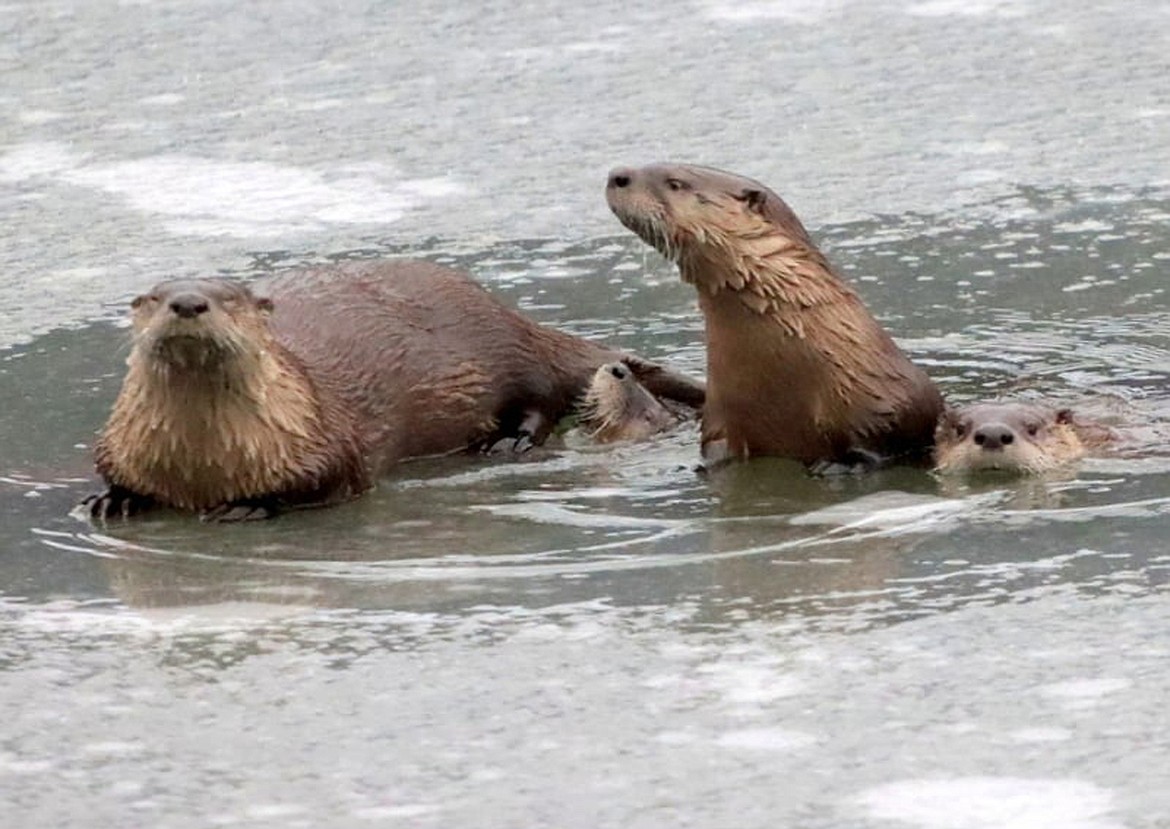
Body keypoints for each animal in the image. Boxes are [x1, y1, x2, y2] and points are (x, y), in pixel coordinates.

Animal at [86, 258, 702, 521]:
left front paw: (248, 505)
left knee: (542, 398)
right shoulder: (119, 442)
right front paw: (111, 500)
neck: (200, 465)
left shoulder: (325, 439)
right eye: (154, 297)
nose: (188, 303)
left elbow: (328, 480)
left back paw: (507, 441)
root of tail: (509, 313)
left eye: (230, 298)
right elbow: (114, 473)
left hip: (505, 353)